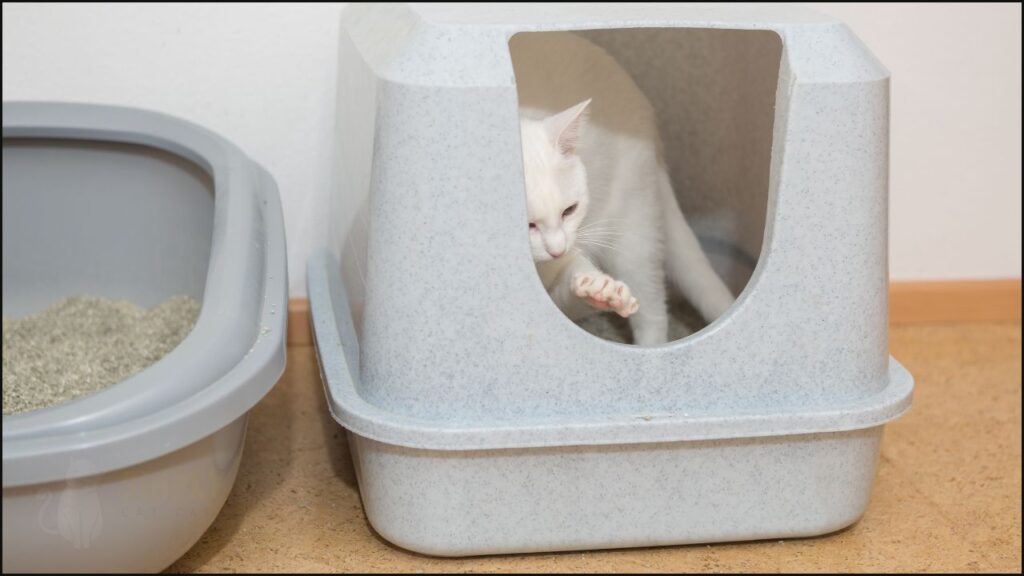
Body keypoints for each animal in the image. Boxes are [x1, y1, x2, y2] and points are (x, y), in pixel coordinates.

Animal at [512, 32, 737, 344]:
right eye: (528, 224)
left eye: (570, 210)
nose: (557, 250)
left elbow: (574, 272)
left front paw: (598, 288)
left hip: (633, 233)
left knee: (653, 311)